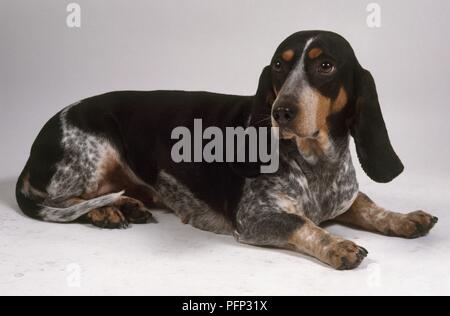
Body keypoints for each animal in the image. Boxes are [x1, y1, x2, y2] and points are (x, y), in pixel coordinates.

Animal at [16, 30, 436, 270]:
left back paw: (128, 205)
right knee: (63, 201)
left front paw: (404, 219)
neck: (315, 162)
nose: (281, 111)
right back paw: (104, 211)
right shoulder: (255, 217)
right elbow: (304, 224)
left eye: (327, 66)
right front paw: (337, 246)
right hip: (95, 151)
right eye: (278, 67)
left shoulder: (344, 198)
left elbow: (369, 206)